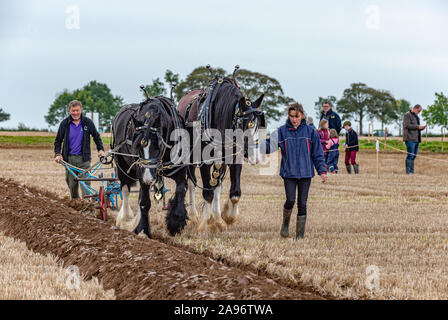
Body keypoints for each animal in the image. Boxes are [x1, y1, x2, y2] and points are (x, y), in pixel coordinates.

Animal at [114, 90, 189, 238]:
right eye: (137, 146)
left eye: (158, 145)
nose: (149, 178)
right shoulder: (141, 170)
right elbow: (144, 202)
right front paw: (144, 230)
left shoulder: (179, 169)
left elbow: (181, 190)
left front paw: (176, 222)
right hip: (122, 166)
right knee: (125, 190)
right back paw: (125, 219)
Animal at [177, 66, 264, 234]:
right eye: (243, 125)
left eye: (259, 125)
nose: (255, 157)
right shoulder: (204, 160)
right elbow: (207, 192)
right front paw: (203, 224)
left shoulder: (234, 158)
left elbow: (234, 192)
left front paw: (227, 217)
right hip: (189, 157)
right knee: (192, 183)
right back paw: (194, 216)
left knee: (216, 185)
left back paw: (216, 217)